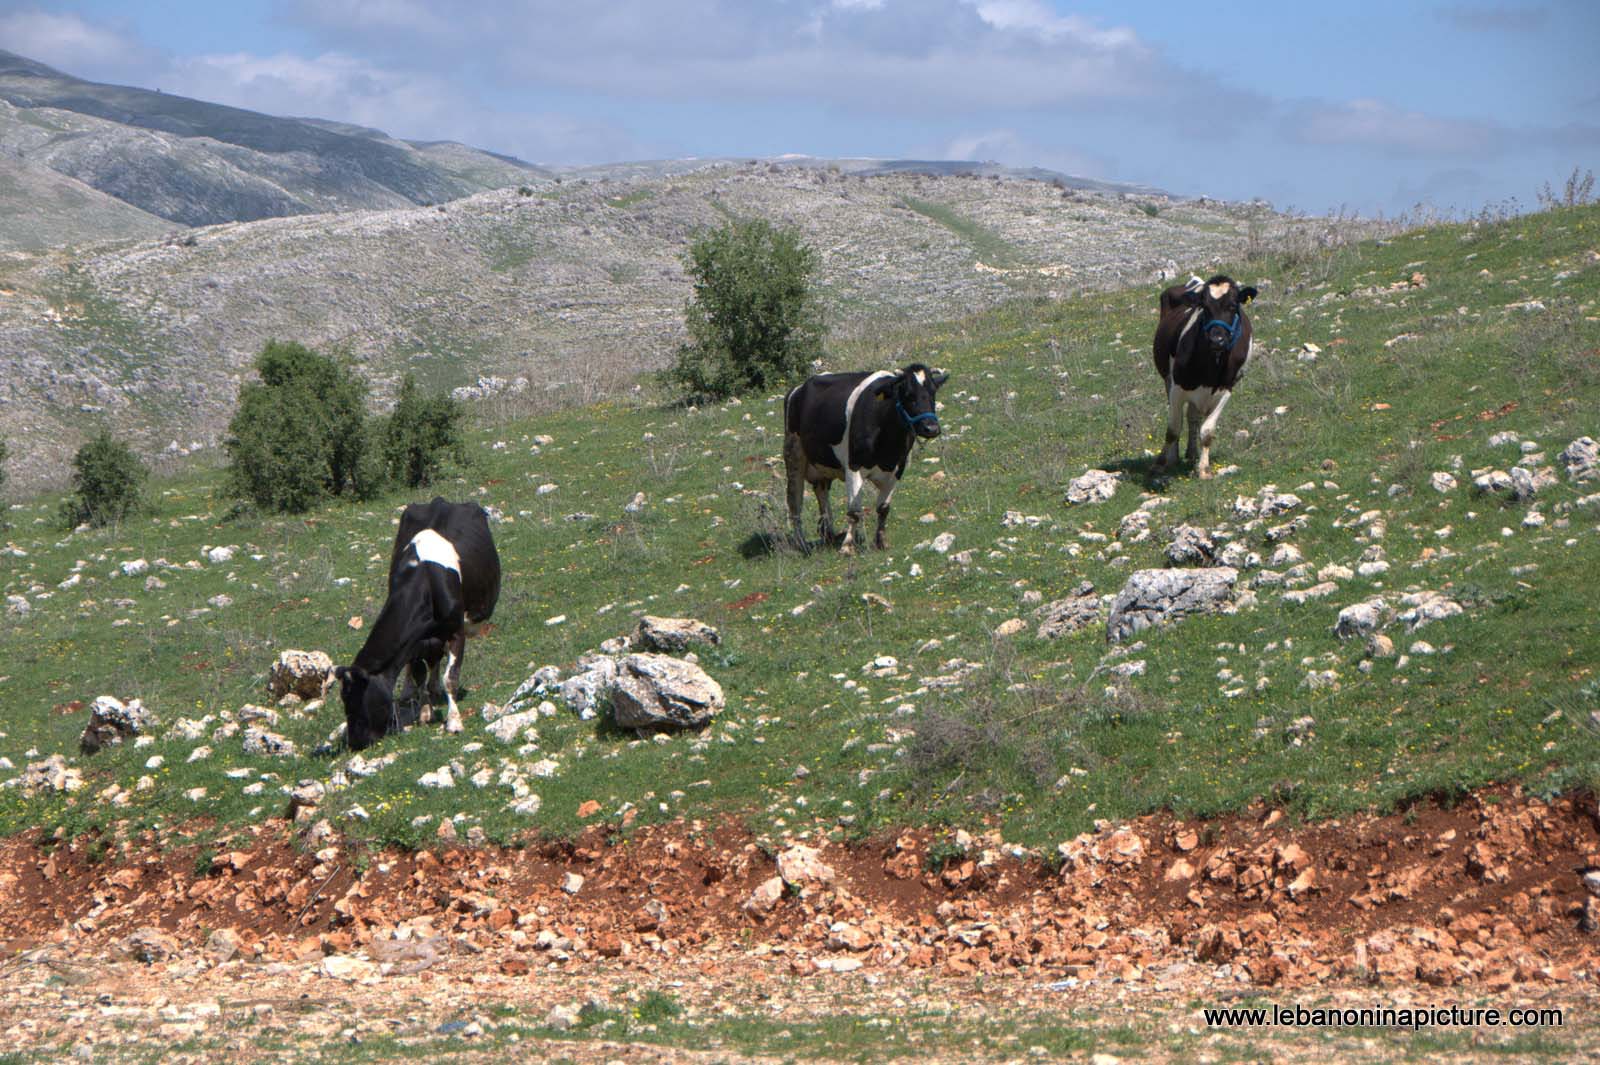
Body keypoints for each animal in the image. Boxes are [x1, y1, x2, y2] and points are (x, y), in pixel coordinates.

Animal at [340, 495, 502, 745]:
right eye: (344, 702)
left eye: (358, 700)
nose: (355, 743)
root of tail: (441, 500)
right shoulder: (414, 642)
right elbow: (418, 674)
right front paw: (426, 711)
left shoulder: (456, 631)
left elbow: (450, 678)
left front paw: (454, 722)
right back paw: (413, 691)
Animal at [777, 362, 940, 550]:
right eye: (907, 394)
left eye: (933, 392)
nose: (931, 428)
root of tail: (797, 388)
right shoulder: (853, 467)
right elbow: (854, 511)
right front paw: (848, 546)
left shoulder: (897, 469)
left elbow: (883, 508)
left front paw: (882, 542)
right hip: (793, 452)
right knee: (794, 501)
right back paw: (801, 543)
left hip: (822, 464)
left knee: (822, 494)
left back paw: (829, 535)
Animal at [1152, 273, 1260, 476]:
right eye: (1204, 308)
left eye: (1233, 306)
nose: (1217, 339)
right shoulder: (1177, 386)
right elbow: (1173, 428)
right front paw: (1162, 463)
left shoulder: (1226, 388)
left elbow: (1207, 431)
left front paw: (1204, 469)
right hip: (1168, 380)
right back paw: (1175, 456)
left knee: (1193, 418)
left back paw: (1192, 454)